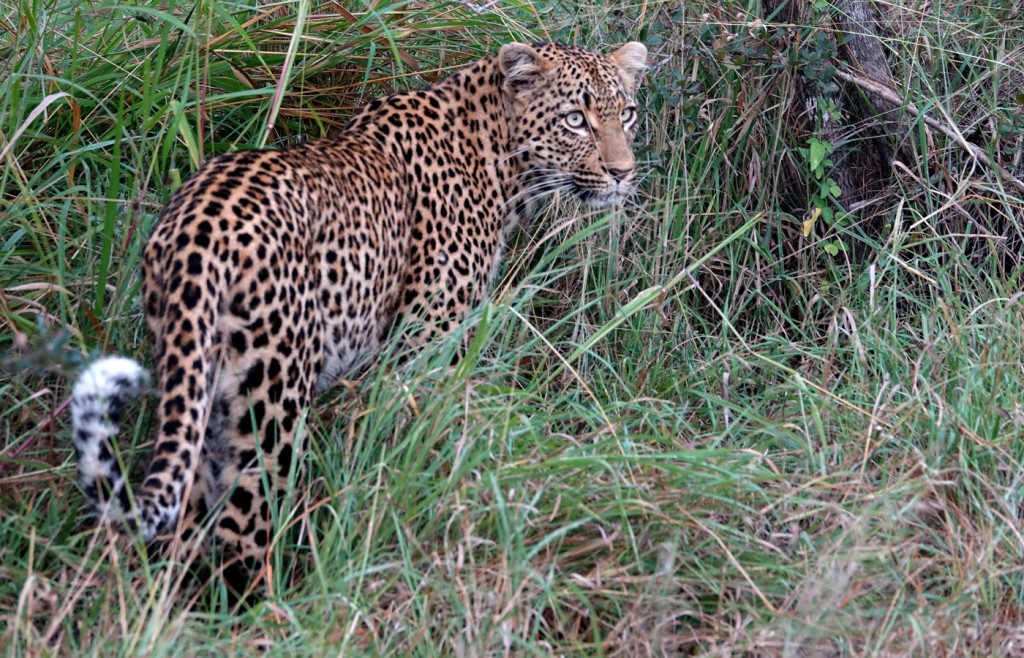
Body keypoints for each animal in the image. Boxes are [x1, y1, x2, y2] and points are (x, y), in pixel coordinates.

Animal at [70, 39, 647, 593]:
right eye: (575, 119)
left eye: (628, 114)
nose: (623, 174)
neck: (503, 166)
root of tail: (197, 226)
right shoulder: (420, 349)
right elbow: (405, 447)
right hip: (271, 404)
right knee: (245, 530)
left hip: (192, 386)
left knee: (183, 534)